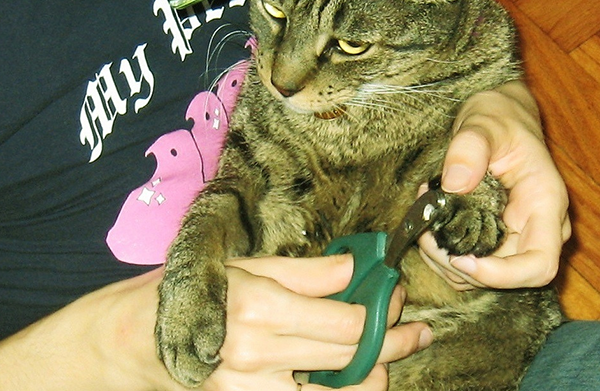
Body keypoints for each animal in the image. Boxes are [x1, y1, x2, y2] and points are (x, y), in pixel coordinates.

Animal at [155, 0, 564, 390]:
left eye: (351, 46)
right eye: (275, 12)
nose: (281, 85)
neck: (347, 132)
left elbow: (456, 160)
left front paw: (473, 204)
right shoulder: (243, 171)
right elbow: (202, 222)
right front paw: (183, 318)